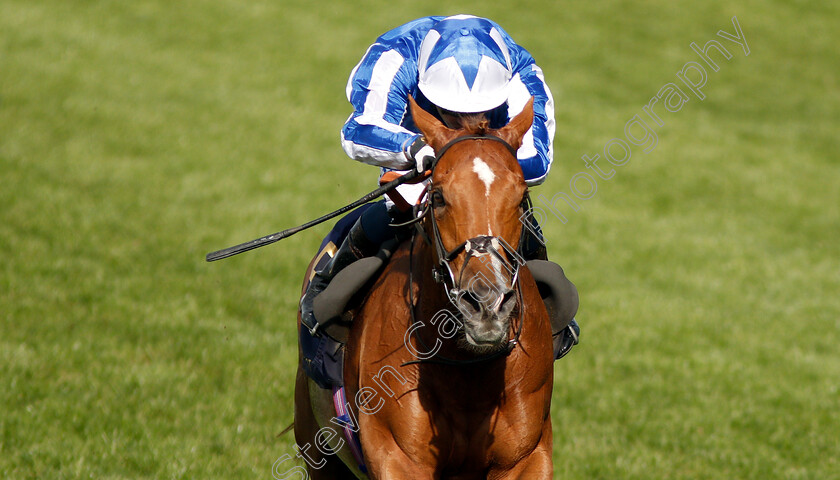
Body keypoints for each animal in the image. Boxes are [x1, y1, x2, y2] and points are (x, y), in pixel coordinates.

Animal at [292, 95, 556, 478]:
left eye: (521, 198)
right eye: (441, 196)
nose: (486, 306)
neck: (469, 371)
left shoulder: (527, 458)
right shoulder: (397, 456)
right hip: (317, 446)